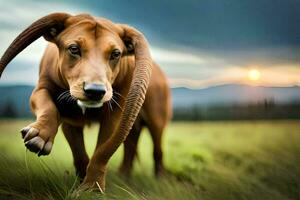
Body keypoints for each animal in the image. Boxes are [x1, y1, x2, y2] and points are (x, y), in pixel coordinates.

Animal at [0, 12, 171, 191]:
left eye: (116, 53)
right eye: (74, 49)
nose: (95, 91)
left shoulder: (117, 114)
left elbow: (102, 150)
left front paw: (91, 187)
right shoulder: (47, 94)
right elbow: (50, 110)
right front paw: (41, 136)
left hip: (156, 119)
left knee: (157, 150)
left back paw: (159, 179)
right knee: (131, 145)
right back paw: (123, 178)